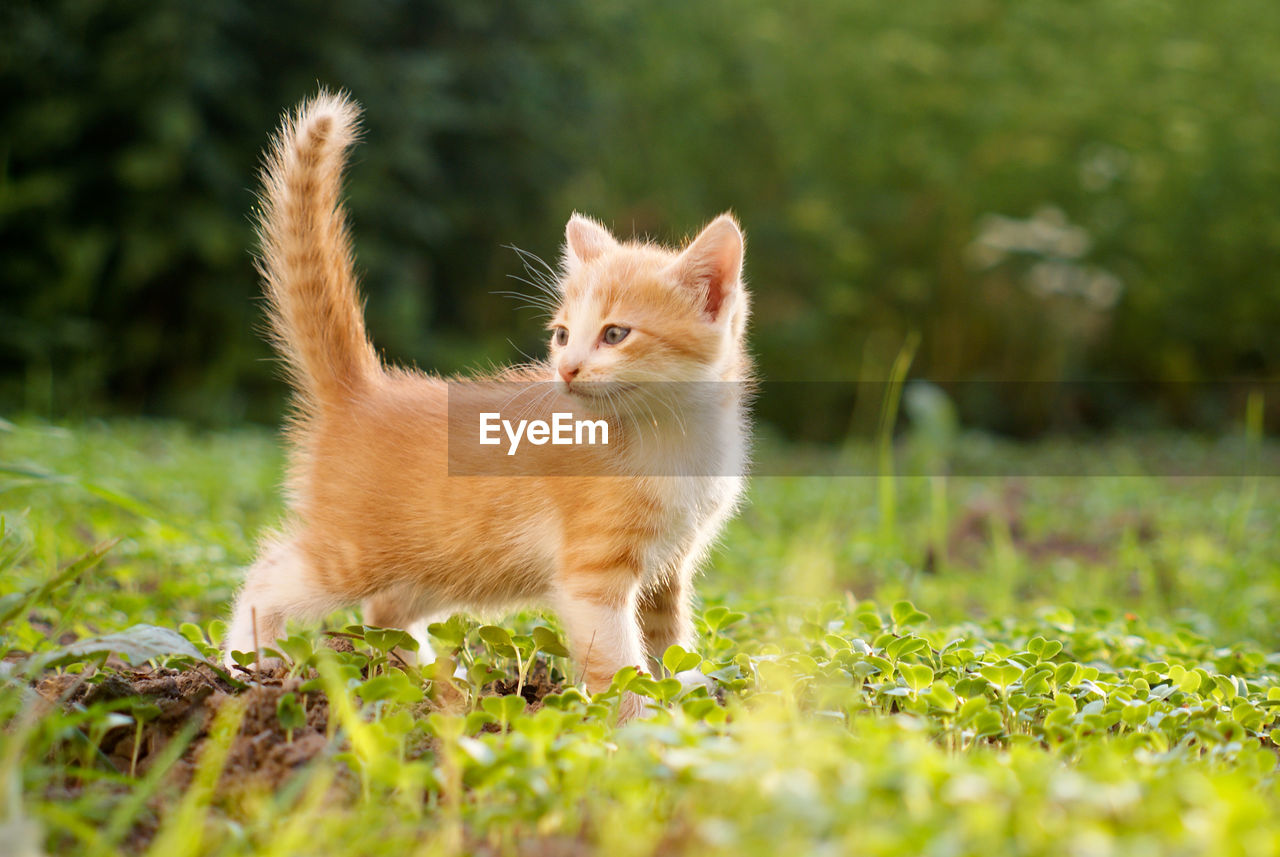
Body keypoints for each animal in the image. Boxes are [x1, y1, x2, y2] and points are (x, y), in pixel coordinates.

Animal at [222, 92, 747, 726]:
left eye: (616, 334)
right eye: (562, 335)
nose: (566, 370)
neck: (674, 432)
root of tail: (362, 389)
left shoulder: (670, 568)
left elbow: (671, 644)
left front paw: (691, 712)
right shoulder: (591, 576)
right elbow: (617, 663)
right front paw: (634, 731)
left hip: (436, 559)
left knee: (386, 615)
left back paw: (430, 686)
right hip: (352, 552)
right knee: (269, 577)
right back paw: (245, 669)